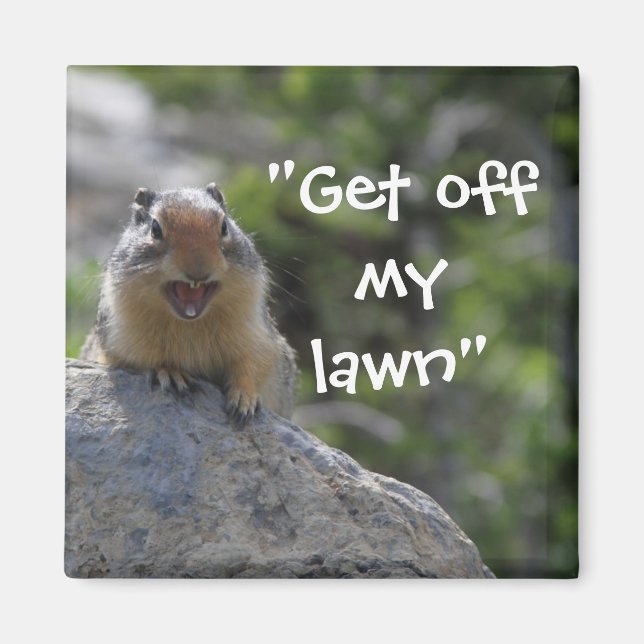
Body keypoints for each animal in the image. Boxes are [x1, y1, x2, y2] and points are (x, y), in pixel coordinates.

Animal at [81, 182, 297, 422]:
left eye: (224, 226)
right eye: (155, 229)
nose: (199, 269)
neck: (190, 324)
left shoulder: (257, 333)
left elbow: (254, 363)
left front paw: (244, 398)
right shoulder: (119, 338)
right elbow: (143, 359)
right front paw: (170, 372)